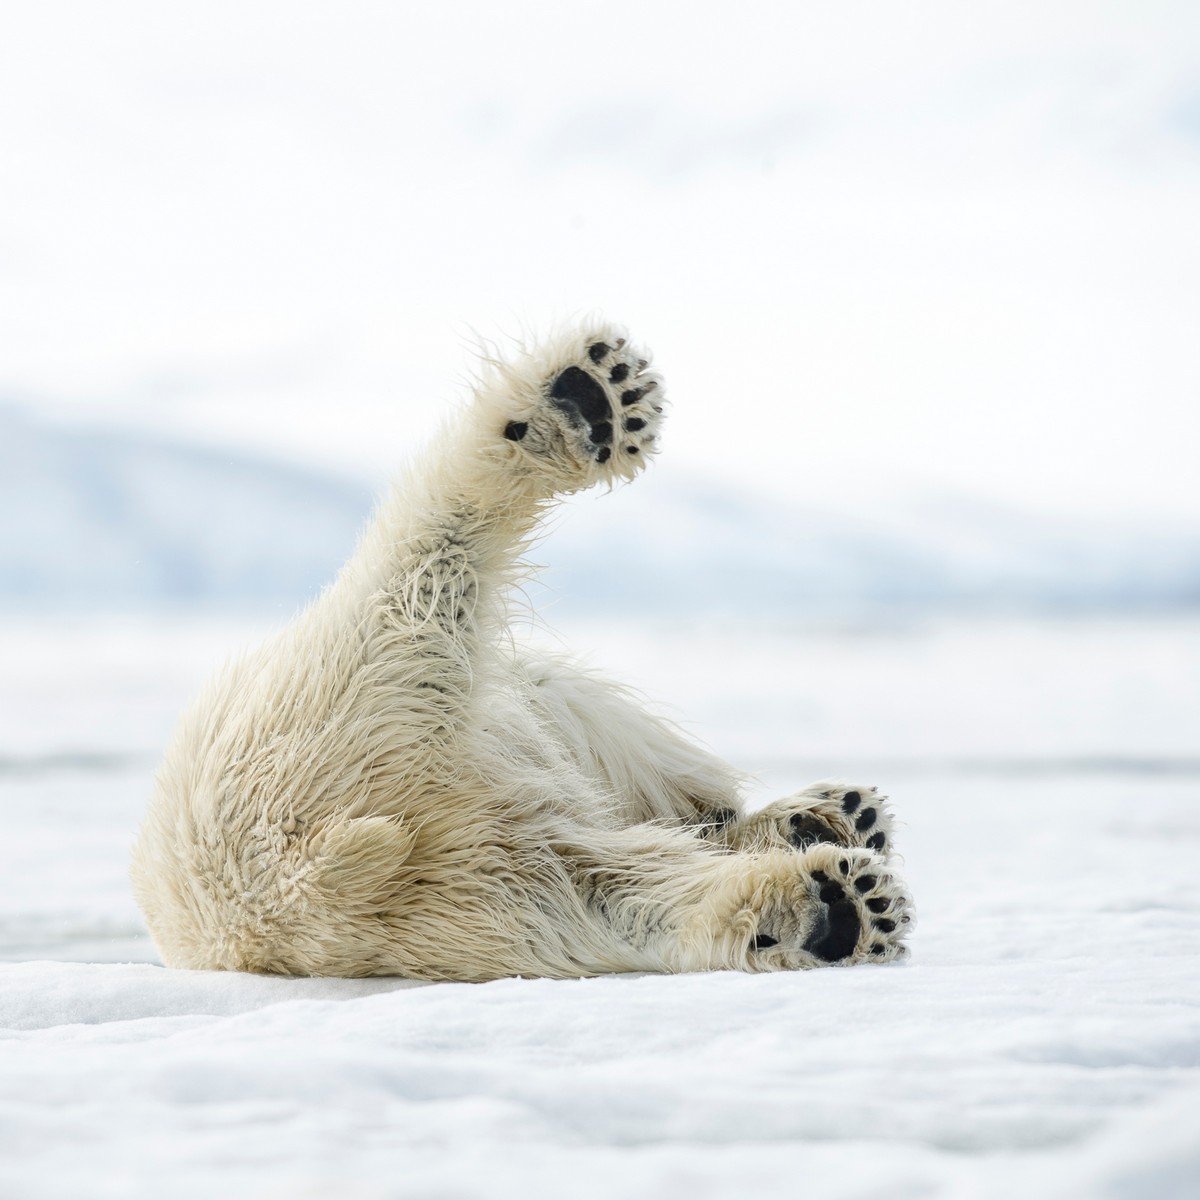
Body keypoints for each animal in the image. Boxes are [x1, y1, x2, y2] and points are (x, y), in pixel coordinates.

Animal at [131, 324, 912, 979]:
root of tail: (287, 876)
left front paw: (822, 824)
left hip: (458, 898)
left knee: (610, 895)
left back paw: (824, 904)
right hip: (334, 695)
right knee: (422, 578)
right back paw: (582, 400)